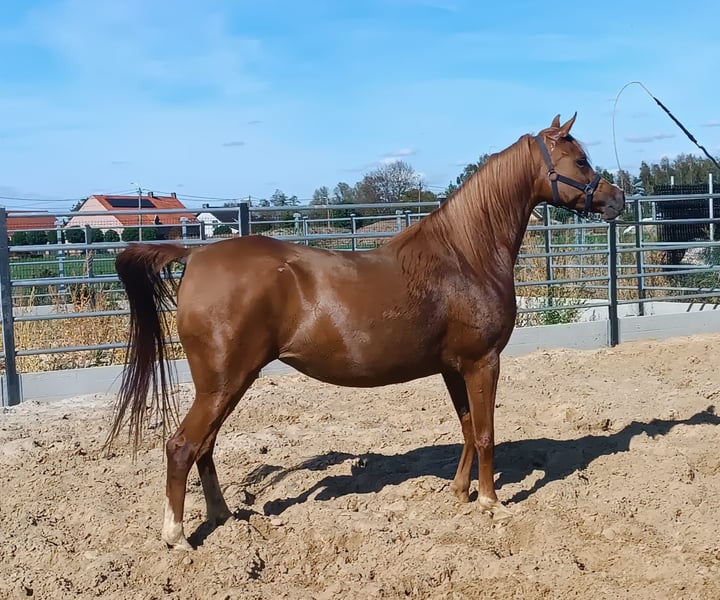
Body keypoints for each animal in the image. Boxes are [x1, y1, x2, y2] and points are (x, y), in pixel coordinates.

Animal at [106, 113, 625, 550]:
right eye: (580, 160)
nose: (617, 199)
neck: (466, 254)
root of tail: (195, 254)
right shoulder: (483, 362)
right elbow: (485, 432)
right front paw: (490, 502)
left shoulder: (454, 367)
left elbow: (465, 426)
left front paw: (460, 493)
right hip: (223, 382)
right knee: (182, 446)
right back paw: (177, 536)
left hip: (225, 384)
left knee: (205, 447)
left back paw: (222, 517)